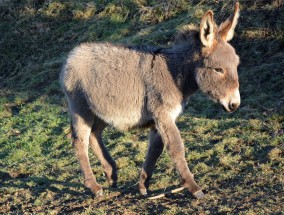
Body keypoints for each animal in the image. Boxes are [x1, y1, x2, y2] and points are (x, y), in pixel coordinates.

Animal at [61, 2, 241, 199]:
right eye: (218, 69)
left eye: (237, 65)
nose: (234, 104)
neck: (174, 72)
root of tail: (72, 54)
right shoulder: (163, 114)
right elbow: (176, 148)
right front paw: (194, 188)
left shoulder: (160, 119)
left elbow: (155, 150)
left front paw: (143, 185)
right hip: (80, 108)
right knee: (80, 141)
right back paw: (94, 187)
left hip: (101, 110)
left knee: (94, 134)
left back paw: (111, 175)